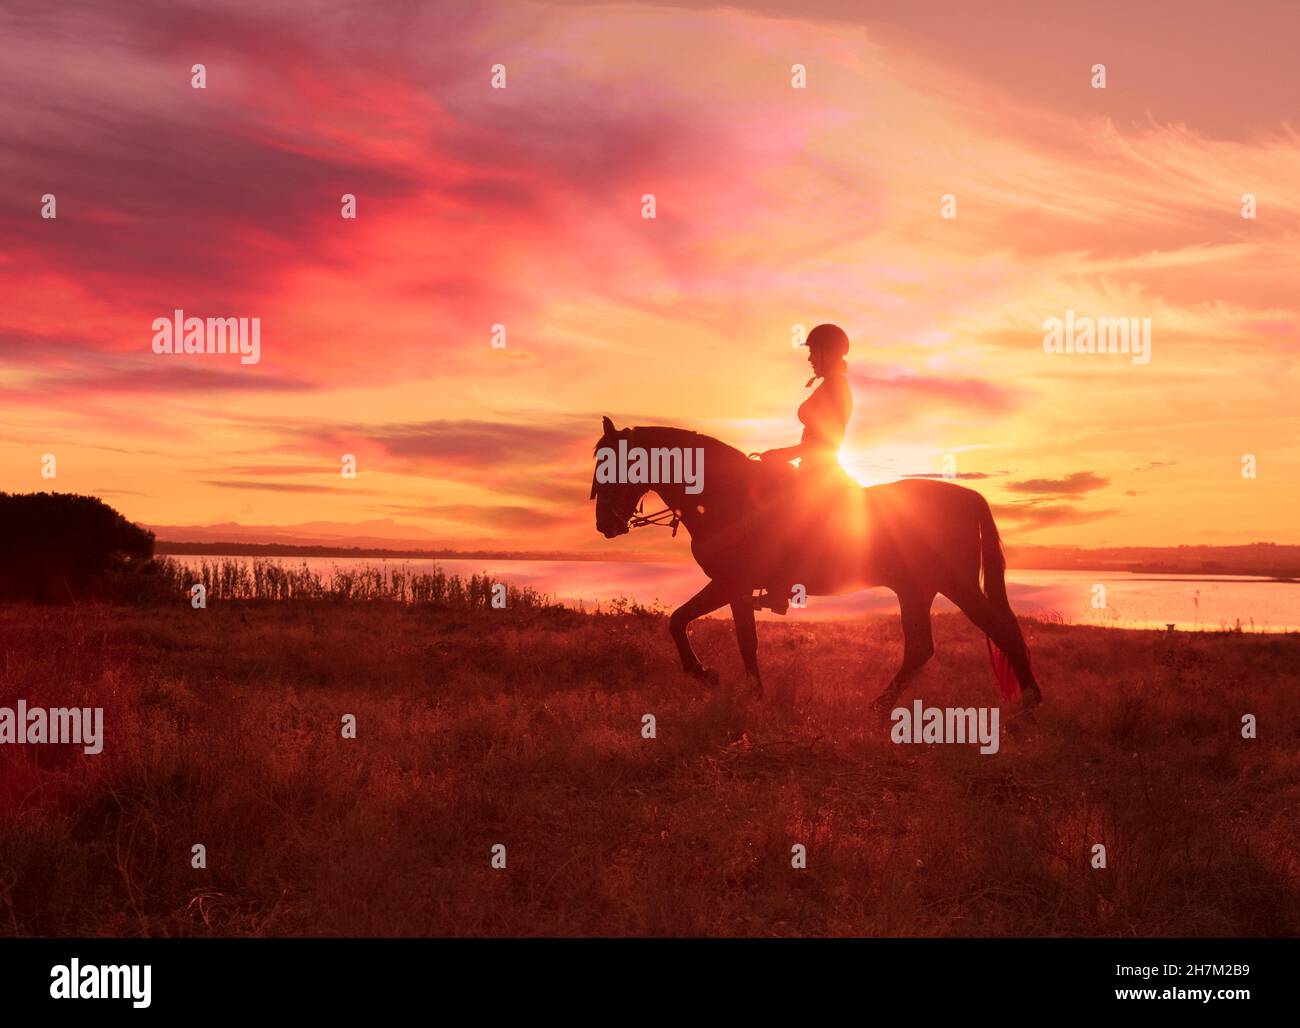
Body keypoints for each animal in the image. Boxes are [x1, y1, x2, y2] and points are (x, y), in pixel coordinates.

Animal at [585, 418, 1040, 706]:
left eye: (614, 463)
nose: (605, 524)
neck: (724, 497)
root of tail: (967, 496)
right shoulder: (736, 588)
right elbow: (717, 632)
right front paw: (745, 689)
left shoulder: (731, 583)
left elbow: (694, 625)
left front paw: (712, 676)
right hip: (916, 590)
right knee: (921, 647)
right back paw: (881, 705)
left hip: (953, 584)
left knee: (1000, 630)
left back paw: (1031, 701)